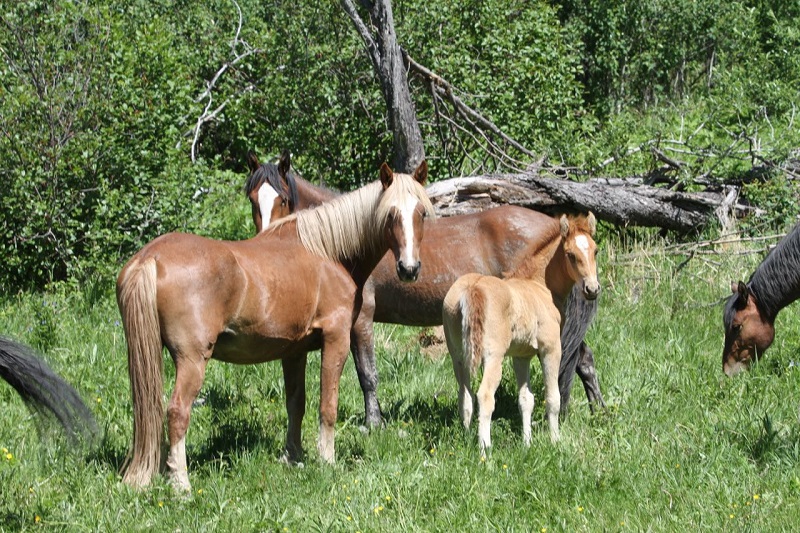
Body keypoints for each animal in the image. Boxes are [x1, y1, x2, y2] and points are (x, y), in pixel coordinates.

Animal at [117, 161, 433, 491]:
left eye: (421, 213)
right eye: (390, 214)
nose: (409, 269)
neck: (327, 253)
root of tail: (150, 258)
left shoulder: (293, 351)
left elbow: (296, 403)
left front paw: (293, 457)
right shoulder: (336, 338)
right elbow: (328, 404)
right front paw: (327, 460)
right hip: (192, 360)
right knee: (177, 411)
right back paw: (181, 484)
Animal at [245, 152, 605, 424]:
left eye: (284, 199)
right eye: (252, 200)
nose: (264, 244)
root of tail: (556, 229)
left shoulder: (361, 318)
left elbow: (367, 373)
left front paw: (373, 424)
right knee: (583, 357)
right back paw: (597, 411)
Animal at [442, 214, 599, 454]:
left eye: (595, 250)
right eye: (570, 254)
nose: (592, 289)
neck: (539, 286)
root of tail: (472, 290)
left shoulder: (521, 356)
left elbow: (526, 399)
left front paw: (527, 443)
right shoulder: (551, 349)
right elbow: (552, 398)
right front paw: (555, 441)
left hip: (458, 357)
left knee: (465, 397)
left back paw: (467, 437)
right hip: (493, 357)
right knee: (484, 396)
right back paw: (485, 448)